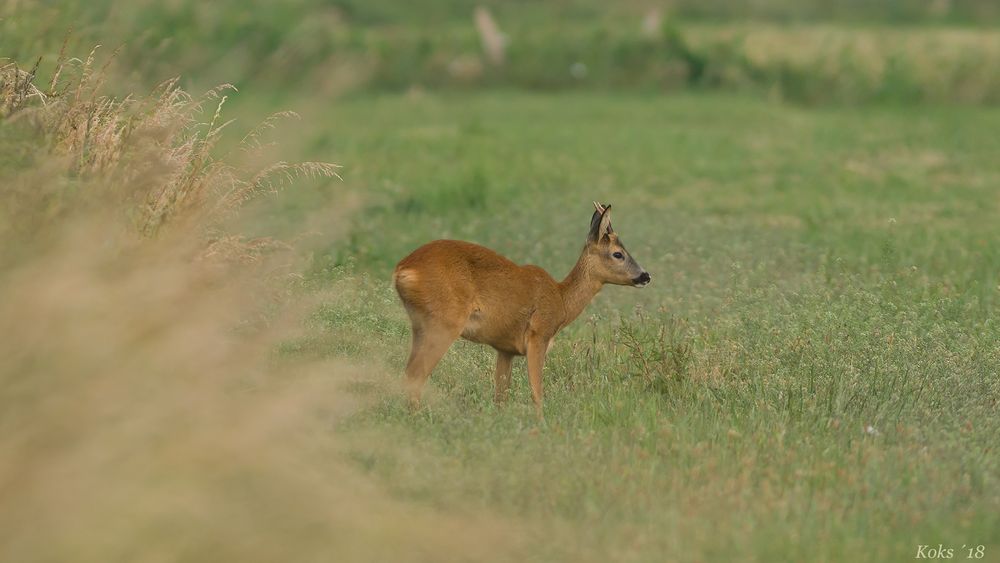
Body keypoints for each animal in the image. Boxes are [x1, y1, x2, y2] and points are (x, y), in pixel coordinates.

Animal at [390, 203, 648, 414]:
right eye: (618, 254)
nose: (646, 276)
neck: (561, 299)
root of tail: (403, 269)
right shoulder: (538, 336)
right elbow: (537, 393)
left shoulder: (505, 349)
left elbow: (501, 396)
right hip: (443, 322)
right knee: (415, 374)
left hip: (419, 324)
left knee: (408, 373)